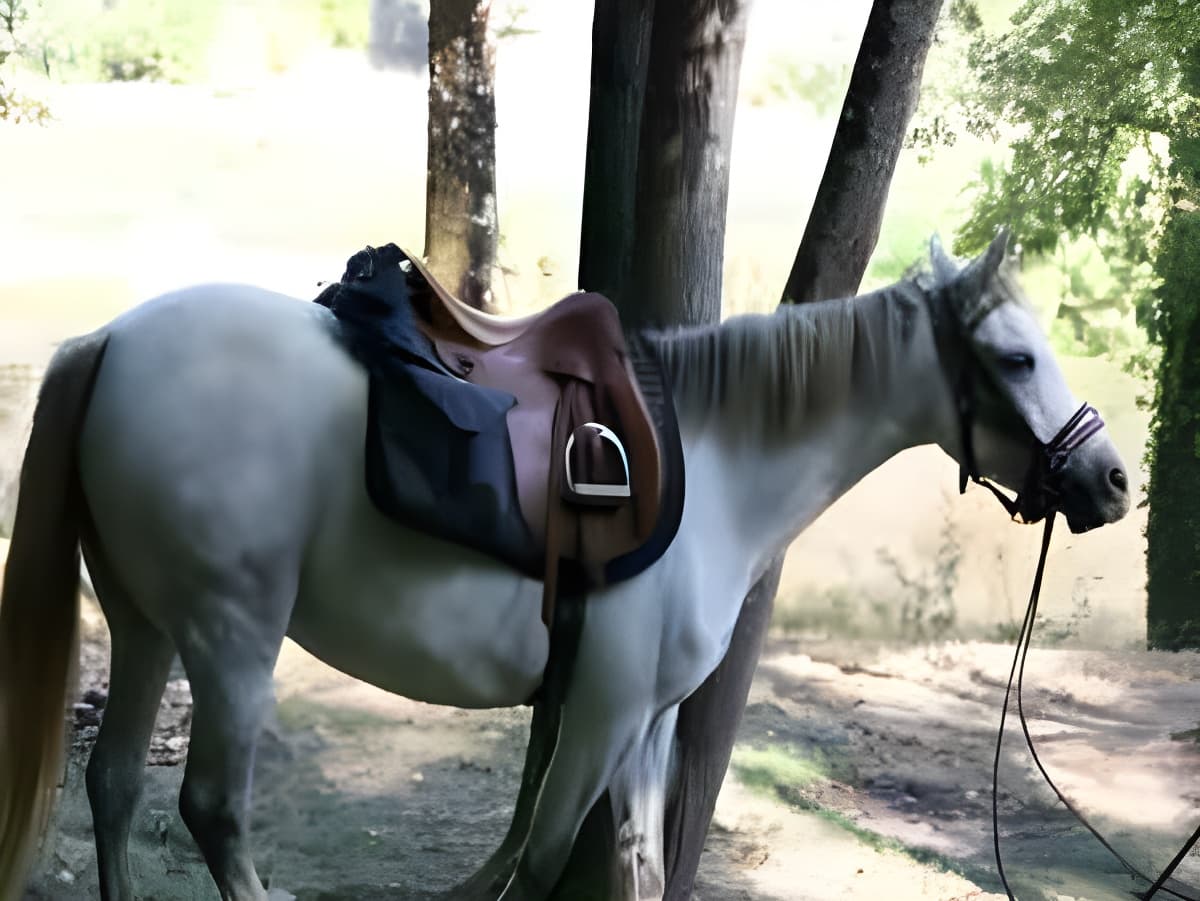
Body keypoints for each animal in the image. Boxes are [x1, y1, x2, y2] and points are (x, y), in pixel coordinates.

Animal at [0, 232, 1130, 901]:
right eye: (1017, 358)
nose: (1112, 479)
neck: (719, 460)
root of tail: (111, 339)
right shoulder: (596, 712)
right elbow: (541, 861)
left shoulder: (645, 722)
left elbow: (634, 862)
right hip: (232, 639)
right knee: (213, 811)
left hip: (146, 625)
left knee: (111, 785)